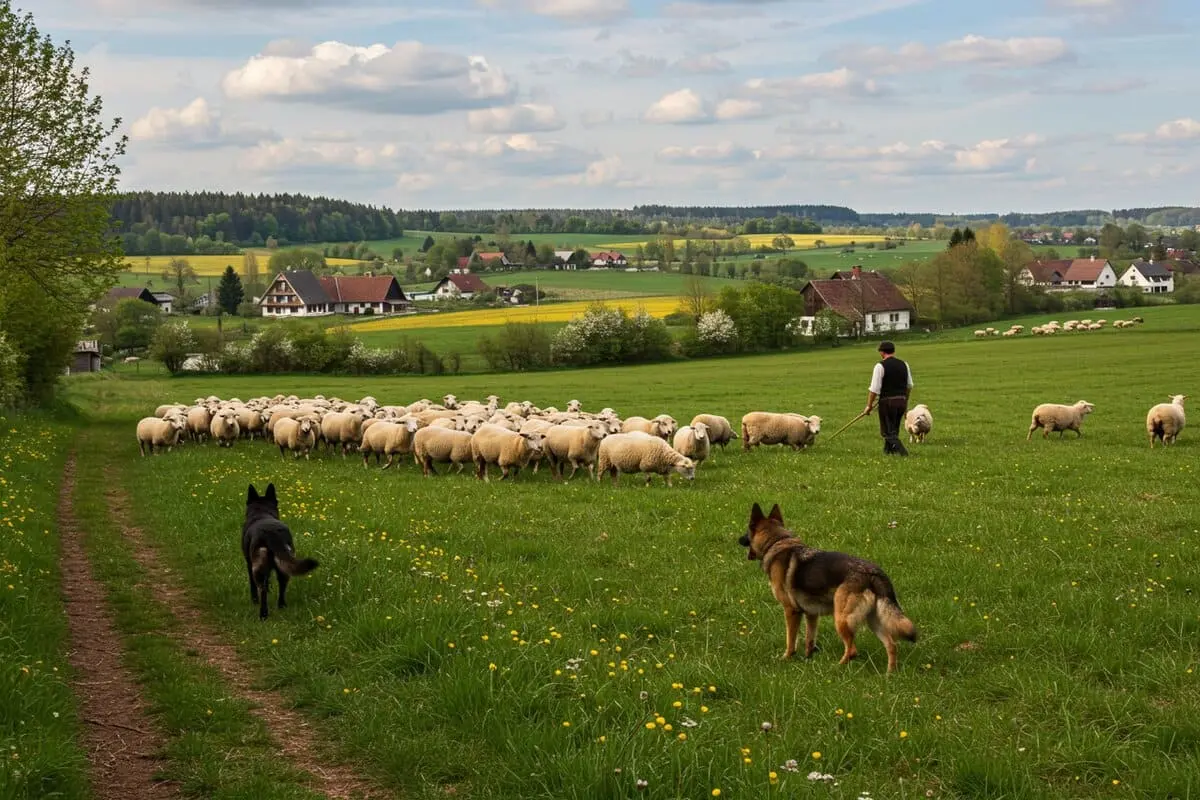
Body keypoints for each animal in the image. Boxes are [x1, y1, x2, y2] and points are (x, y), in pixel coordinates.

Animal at [242, 482, 319, 618]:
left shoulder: (249, 564)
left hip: (258, 569)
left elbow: (253, 585)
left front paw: (254, 600)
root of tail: (272, 533)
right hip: (285, 564)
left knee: (262, 590)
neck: (262, 513)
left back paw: (263, 614)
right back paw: (281, 606)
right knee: (282, 586)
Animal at [734, 503, 912, 671]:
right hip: (873, 620)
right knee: (891, 645)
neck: (777, 541)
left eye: (747, 530)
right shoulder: (812, 614)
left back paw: (836, 668)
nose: (738, 539)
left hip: (841, 619)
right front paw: (808, 658)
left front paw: (786, 658)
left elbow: (791, 640)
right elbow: (810, 639)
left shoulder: (791, 611)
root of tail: (872, 572)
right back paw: (889, 675)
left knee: (852, 650)